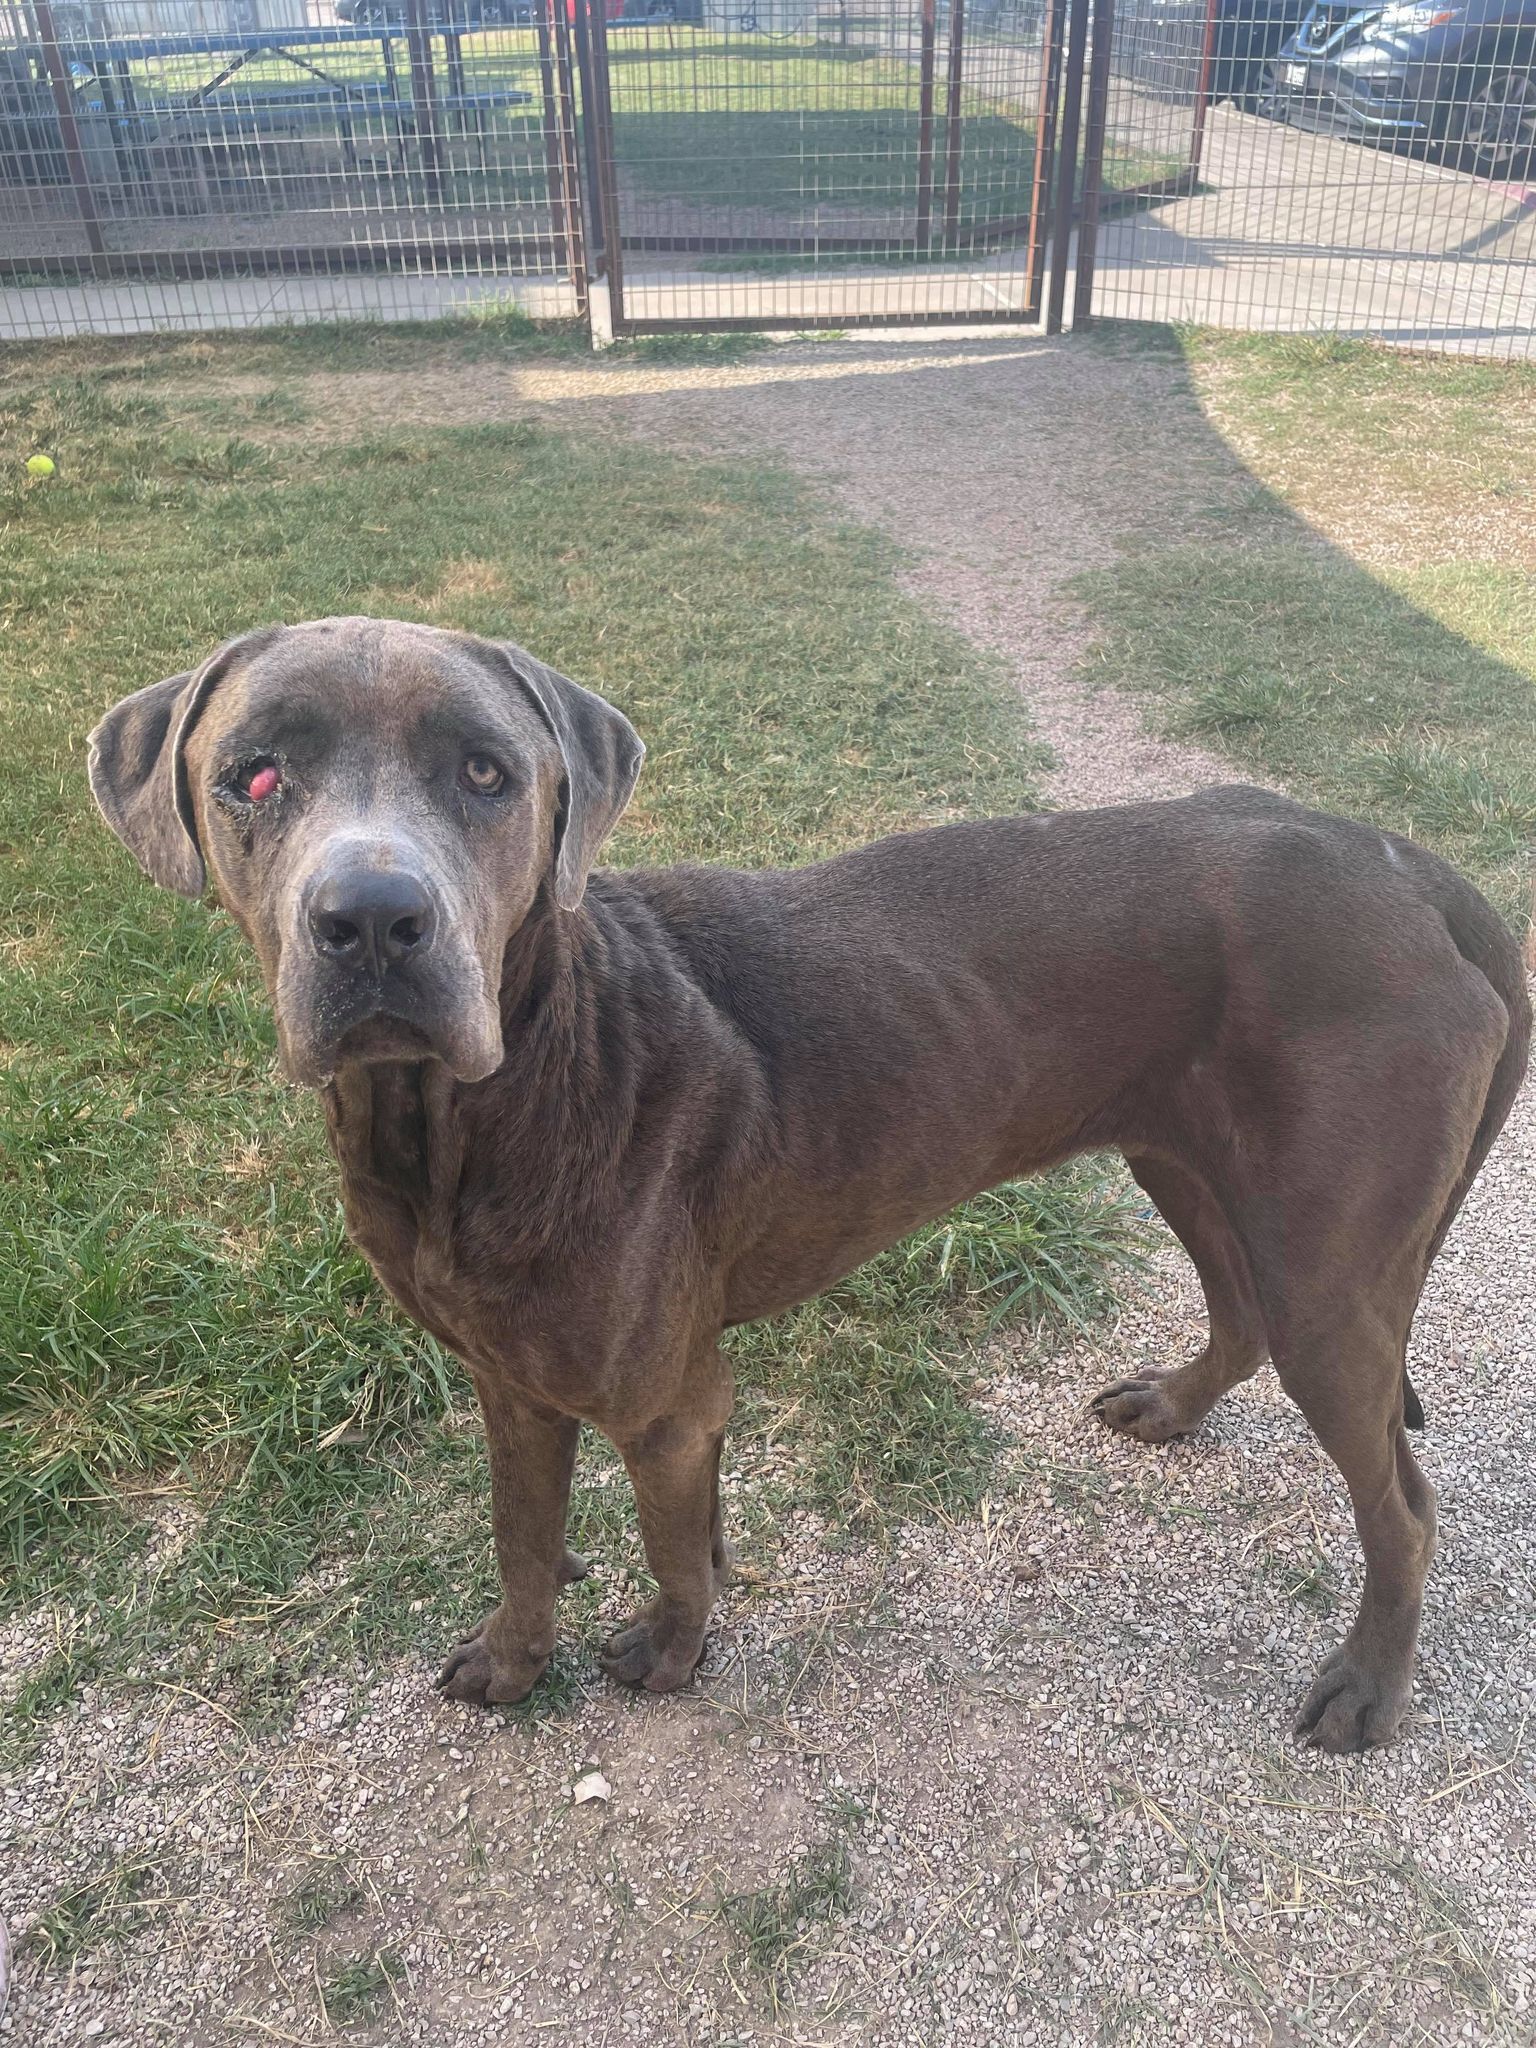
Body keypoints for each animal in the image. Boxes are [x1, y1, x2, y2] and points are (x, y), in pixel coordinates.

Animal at [90, 614, 1531, 1753]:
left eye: (487, 774)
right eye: (254, 774)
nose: (376, 919)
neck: (471, 1112)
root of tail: (1410, 867)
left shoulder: (661, 1400)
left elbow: (671, 1551)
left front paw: (671, 1655)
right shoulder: (512, 1380)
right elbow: (524, 1534)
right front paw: (513, 1660)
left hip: (1329, 1264)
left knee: (1401, 1504)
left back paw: (1366, 1689)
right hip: (1186, 1158)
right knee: (1238, 1315)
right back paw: (1175, 1407)